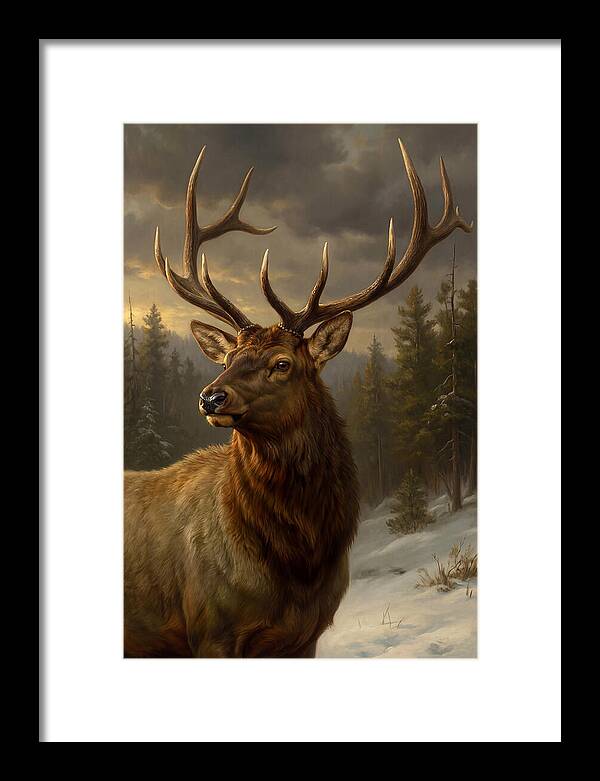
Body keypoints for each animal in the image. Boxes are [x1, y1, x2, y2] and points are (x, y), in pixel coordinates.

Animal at [124, 140, 473, 657]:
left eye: (283, 363)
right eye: (227, 356)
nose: (210, 398)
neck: (297, 564)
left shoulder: (305, 635)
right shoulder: (209, 630)